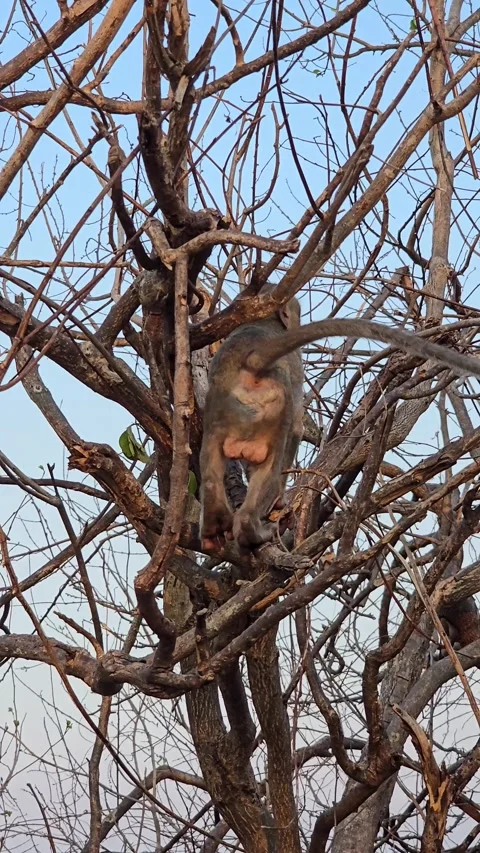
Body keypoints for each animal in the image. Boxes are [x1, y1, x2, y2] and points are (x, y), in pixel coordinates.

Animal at [199, 295, 480, 552]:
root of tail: (252, 360)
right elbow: (296, 430)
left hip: (217, 408)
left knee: (211, 466)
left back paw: (214, 527)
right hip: (273, 409)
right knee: (274, 458)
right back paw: (252, 530)